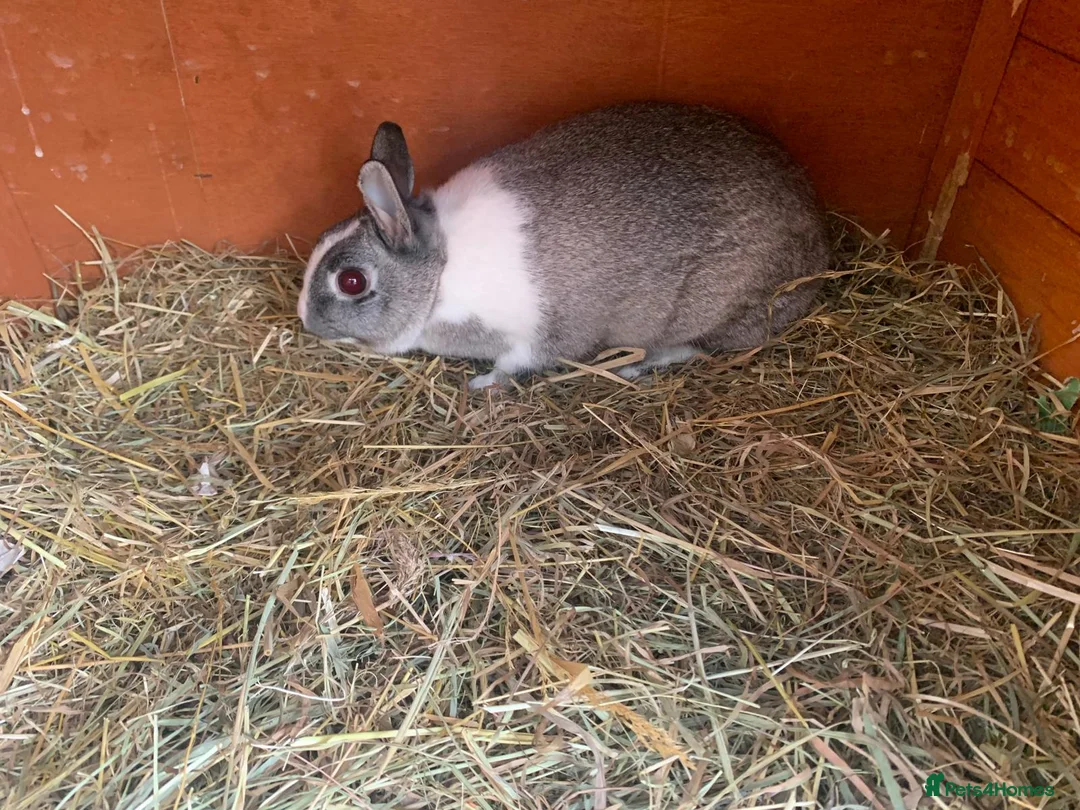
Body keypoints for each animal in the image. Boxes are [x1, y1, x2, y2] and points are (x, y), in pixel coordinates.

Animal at [297, 101, 829, 390]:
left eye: (351, 281)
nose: (305, 321)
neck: (439, 271)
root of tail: (820, 254)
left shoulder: (539, 335)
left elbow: (518, 363)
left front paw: (481, 383)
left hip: (714, 309)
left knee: (697, 347)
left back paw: (638, 364)